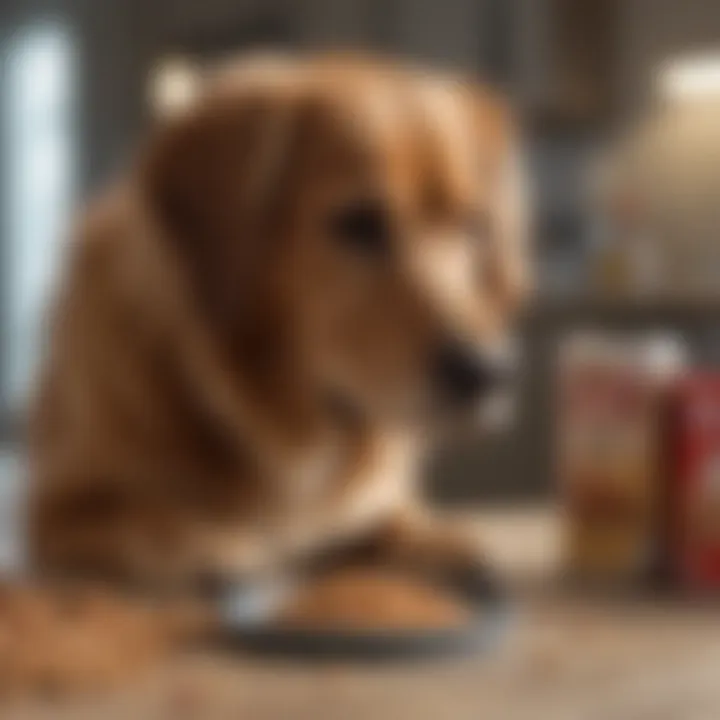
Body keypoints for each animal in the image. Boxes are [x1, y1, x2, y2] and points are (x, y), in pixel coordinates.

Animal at [28, 54, 528, 596]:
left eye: (473, 226)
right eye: (360, 222)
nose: (488, 372)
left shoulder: (374, 500)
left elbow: (393, 520)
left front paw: (444, 542)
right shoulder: (59, 510)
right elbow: (153, 519)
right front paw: (217, 545)